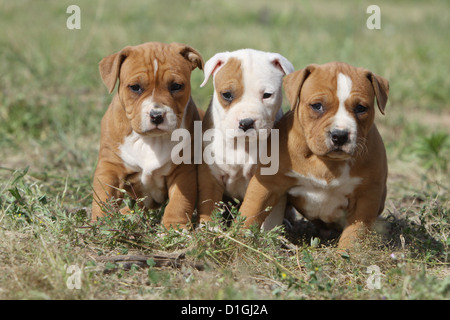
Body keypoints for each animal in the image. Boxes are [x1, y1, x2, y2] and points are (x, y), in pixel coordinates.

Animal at [91, 42, 204, 229]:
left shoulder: (183, 171)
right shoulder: (110, 167)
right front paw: (102, 224)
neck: (151, 140)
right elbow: (104, 196)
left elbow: (179, 202)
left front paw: (174, 228)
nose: (156, 115)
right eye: (135, 87)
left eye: (176, 86)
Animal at [239, 61, 390, 249]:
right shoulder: (267, 183)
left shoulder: (365, 197)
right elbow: (251, 210)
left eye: (361, 108)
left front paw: (349, 253)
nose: (340, 135)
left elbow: (355, 233)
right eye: (317, 106)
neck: (327, 161)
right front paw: (237, 240)